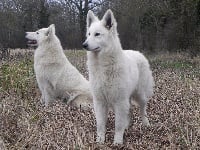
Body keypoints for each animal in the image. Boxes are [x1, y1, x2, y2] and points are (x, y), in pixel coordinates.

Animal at [83, 9, 155, 144]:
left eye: (97, 34)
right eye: (88, 34)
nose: (84, 44)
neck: (103, 66)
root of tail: (138, 53)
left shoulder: (119, 101)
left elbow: (118, 125)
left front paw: (117, 142)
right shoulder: (100, 102)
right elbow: (101, 125)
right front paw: (100, 141)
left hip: (140, 95)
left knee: (142, 110)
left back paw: (146, 124)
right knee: (129, 112)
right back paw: (128, 126)